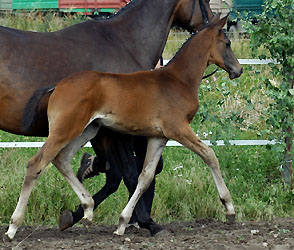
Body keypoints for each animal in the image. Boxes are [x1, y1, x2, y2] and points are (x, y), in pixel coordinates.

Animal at [5, 14, 242, 240]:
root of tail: (58, 85)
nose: (238, 70)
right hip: (65, 130)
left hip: (87, 130)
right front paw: (229, 209)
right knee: (36, 164)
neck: (177, 80)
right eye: (228, 43)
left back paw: (87, 211)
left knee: (61, 160)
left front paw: (122, 224)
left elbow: (145, 176)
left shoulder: (158, 137)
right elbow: (209, 155)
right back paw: (13, 227)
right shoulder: (178, 129)